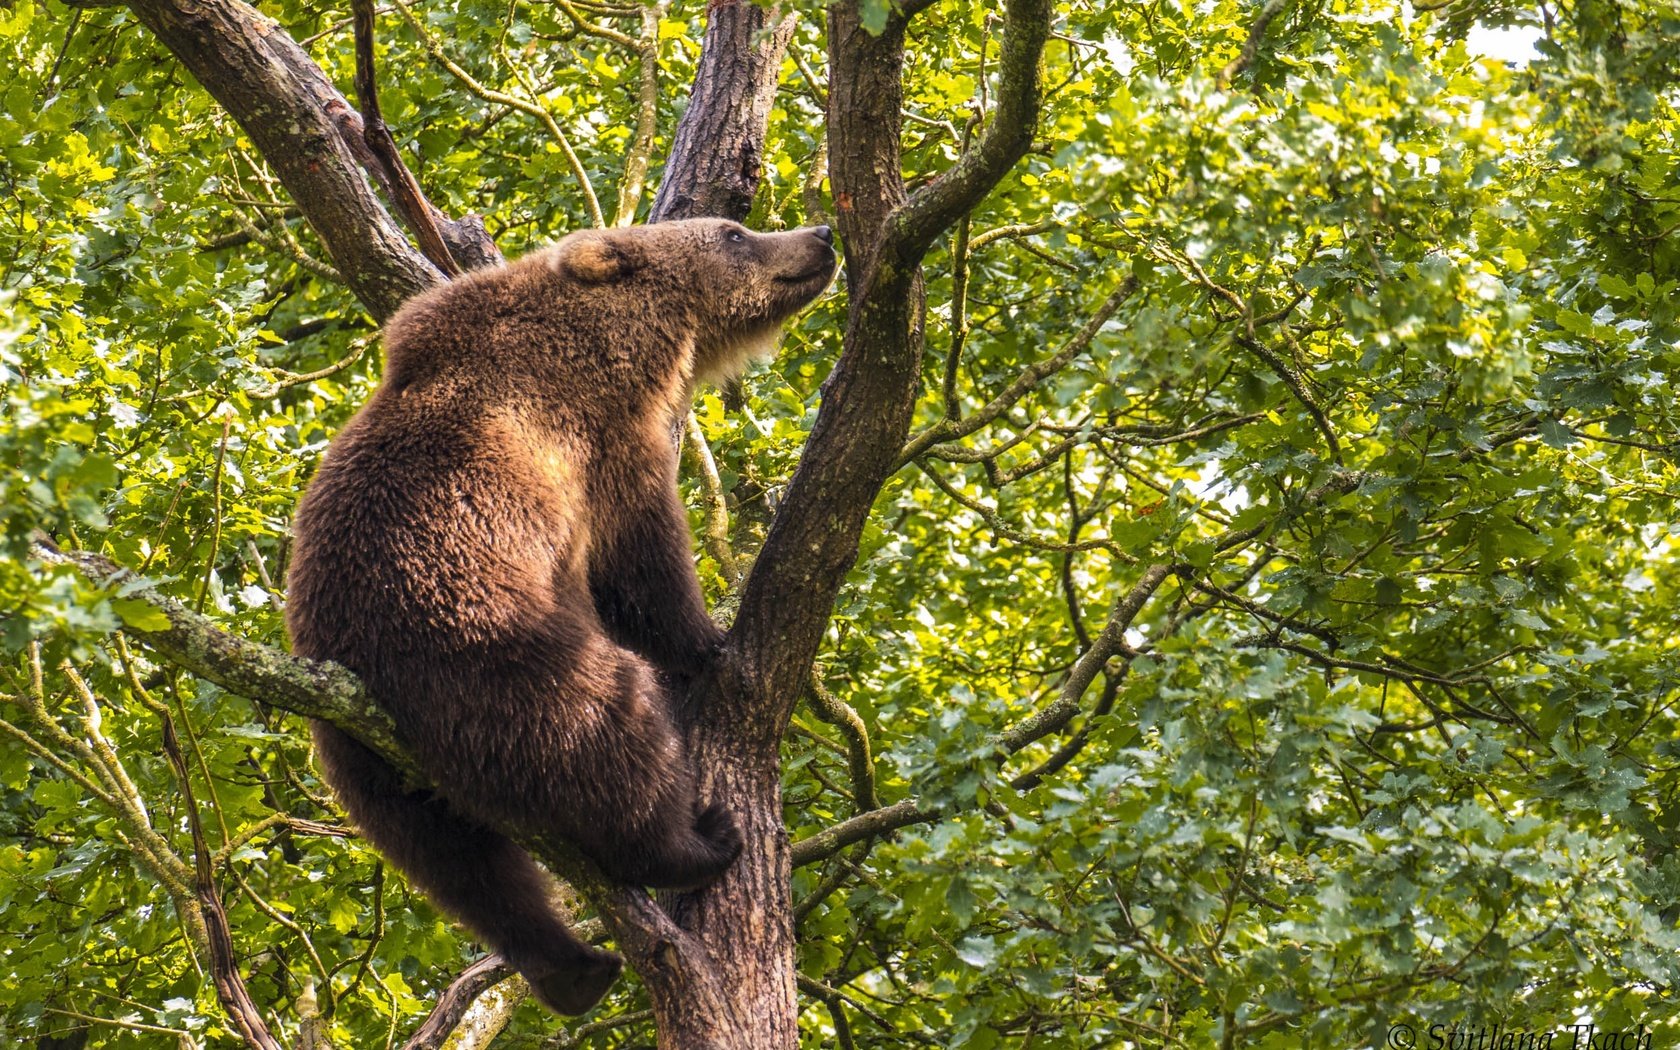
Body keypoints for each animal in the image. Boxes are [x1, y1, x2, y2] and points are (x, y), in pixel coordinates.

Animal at [287, 218, 840, 1014]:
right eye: (735, 233)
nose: (820, 233)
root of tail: (373, 675)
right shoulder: (604, 441)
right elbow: (639, 561)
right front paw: (707, 641)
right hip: (502, 653)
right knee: (609, 732)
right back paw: (697, 841)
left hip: (361, 759)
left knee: (460, 864)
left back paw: (573, 969)